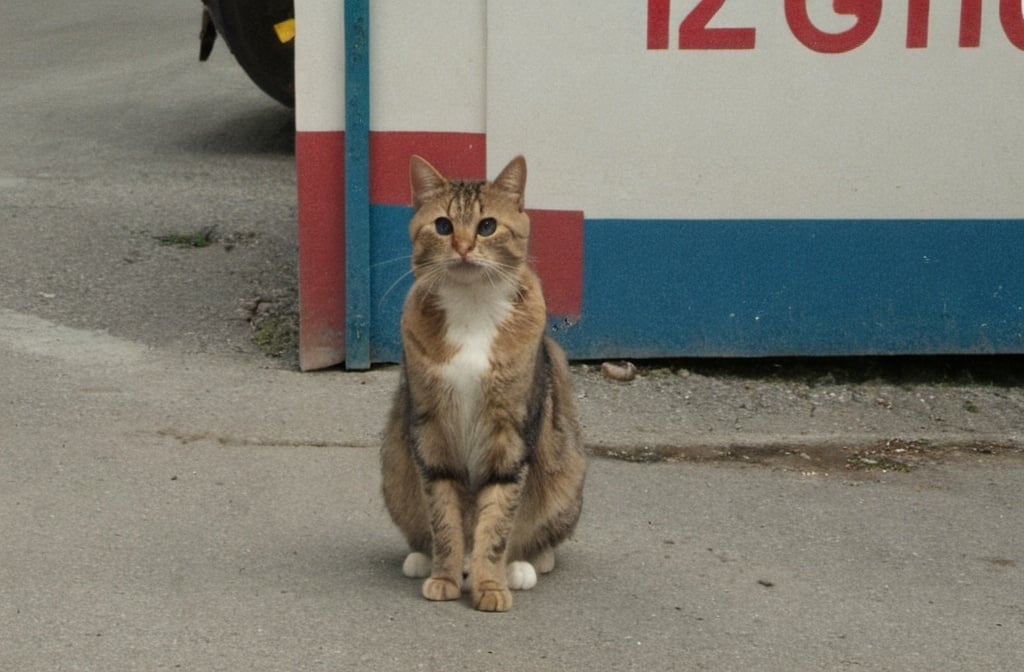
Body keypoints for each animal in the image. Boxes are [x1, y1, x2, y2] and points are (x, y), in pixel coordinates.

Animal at [378, 154, 589, 610]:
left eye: (487, 225)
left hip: (566, 468)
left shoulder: (510, 433)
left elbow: (496, 521)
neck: (472, 308)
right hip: (394, 463)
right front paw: (444, 575)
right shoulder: (431, 431)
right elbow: (444, 515)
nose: (462, 246)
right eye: (442, 226)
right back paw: (426, 559)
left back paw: (523, 565)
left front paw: (490, 584)